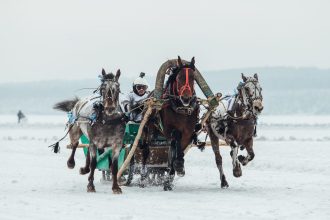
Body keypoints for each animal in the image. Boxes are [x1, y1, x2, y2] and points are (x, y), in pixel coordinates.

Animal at [141, 55, 200, 190]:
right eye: (179, 78)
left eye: (193, 78)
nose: (186, 98)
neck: (181, 108)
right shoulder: (169, 130)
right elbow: (176, 137)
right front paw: (178, 165)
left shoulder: (188, 133)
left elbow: (177, 152)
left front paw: (176, 170)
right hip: (147, 130)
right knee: (145, 150)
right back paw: (143, 177)